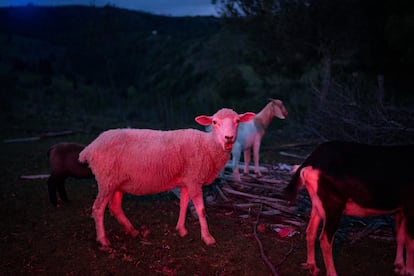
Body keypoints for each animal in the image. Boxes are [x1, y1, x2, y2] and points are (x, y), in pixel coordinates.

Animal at [77, 108, 256, 248]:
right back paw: (103, 240)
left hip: (117, 182)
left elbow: (183, 204)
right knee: (98, 208)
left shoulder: (186, 180)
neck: (207, 145)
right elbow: (201, 210)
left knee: (115, 207)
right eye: (214, 122)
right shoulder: (194, 179)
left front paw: (181, 229)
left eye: (237, 121)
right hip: (106, 180)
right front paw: (207, 238)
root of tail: (89, 148)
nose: (229, 138)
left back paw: (132, 230)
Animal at [284, 141, 414, 274]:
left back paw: (313, 266)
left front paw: (400, 266)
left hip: (318, 202)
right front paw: (409, 271)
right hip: (333, 203)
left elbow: (400, 235)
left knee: (311, 230)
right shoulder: (410, 205)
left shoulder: (401, 208)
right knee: (325, 239)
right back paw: (332, 273)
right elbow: (410, 242)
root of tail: (309, 163)